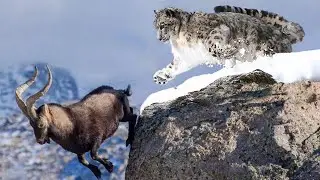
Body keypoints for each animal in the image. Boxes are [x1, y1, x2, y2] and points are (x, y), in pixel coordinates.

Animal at [152, 5, 304, 84]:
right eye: (155, 26)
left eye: (162, 25)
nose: (159, 38)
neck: (178, 39)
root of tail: (284, 34)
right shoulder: (186, 57)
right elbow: (174, 66)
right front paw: (161, 76)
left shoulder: (216, 30)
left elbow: (211, 45)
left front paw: (230, 51)